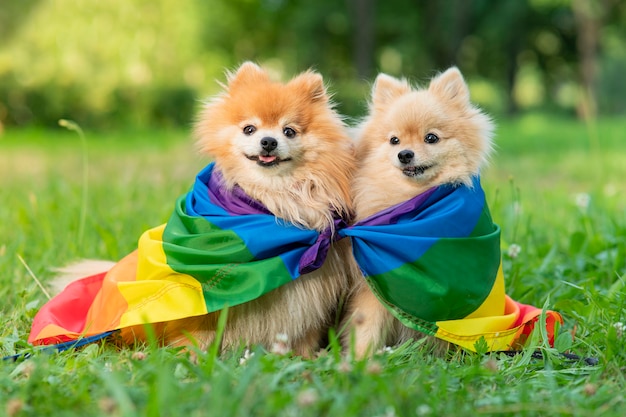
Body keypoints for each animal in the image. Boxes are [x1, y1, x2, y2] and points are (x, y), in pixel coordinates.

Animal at [54, 62, 356, 358]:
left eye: (289, 131)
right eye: (249, 129)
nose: (269, 141)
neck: (271, 201)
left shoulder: (310, 297)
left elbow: (304, 335)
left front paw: (304, 358)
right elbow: (197, 335)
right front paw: (192, 359)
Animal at [342, 66, 492, 356]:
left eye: (431, 138)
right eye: (394, 140)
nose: (405, 154)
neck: (412, 202)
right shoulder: (375, 286)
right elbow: (367, 326)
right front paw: (360, 358)